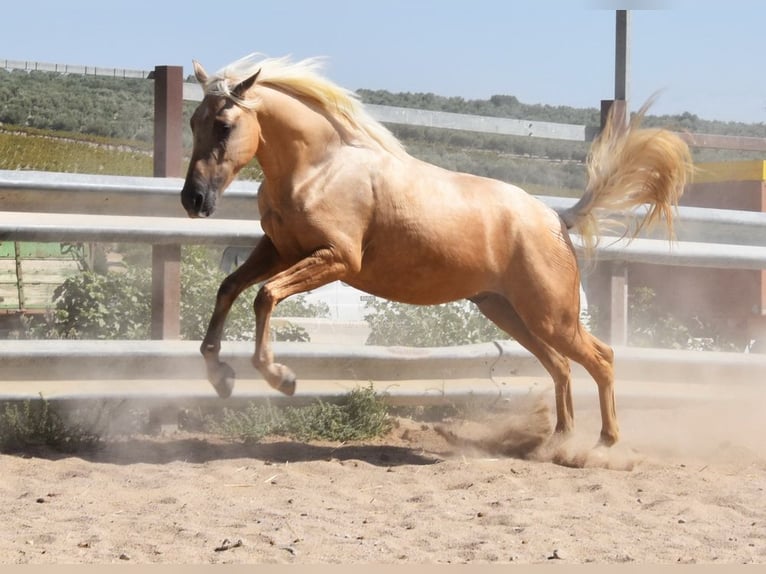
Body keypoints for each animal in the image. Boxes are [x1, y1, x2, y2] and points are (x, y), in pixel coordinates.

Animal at [182, 54, 696, 448]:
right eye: (193, 121)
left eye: (224, 125)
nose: (193, 200)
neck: (321, 167)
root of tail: (555, 218)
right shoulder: (278, 250)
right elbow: (230, 288)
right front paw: (220, 376)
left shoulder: (335, 259)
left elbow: (264, 295)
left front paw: (279, 377)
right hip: (508, 313)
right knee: (562, 366)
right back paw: (557, 442)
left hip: (552, 315)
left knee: (600, 358)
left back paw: (604, 443)